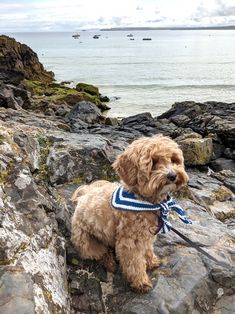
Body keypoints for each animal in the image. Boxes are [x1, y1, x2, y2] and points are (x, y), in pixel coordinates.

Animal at [70, 136, 188, 294]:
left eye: (173, 159)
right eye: (154, 161)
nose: (173, 175)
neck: (146, 201)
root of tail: (83, 195)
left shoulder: (147, 236)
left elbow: (148, 250)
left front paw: (151, 261)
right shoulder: (131, 242)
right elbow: (135, 263)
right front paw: (141, 282)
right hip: (86, 242)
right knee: (101, 252)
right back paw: (109, 262)